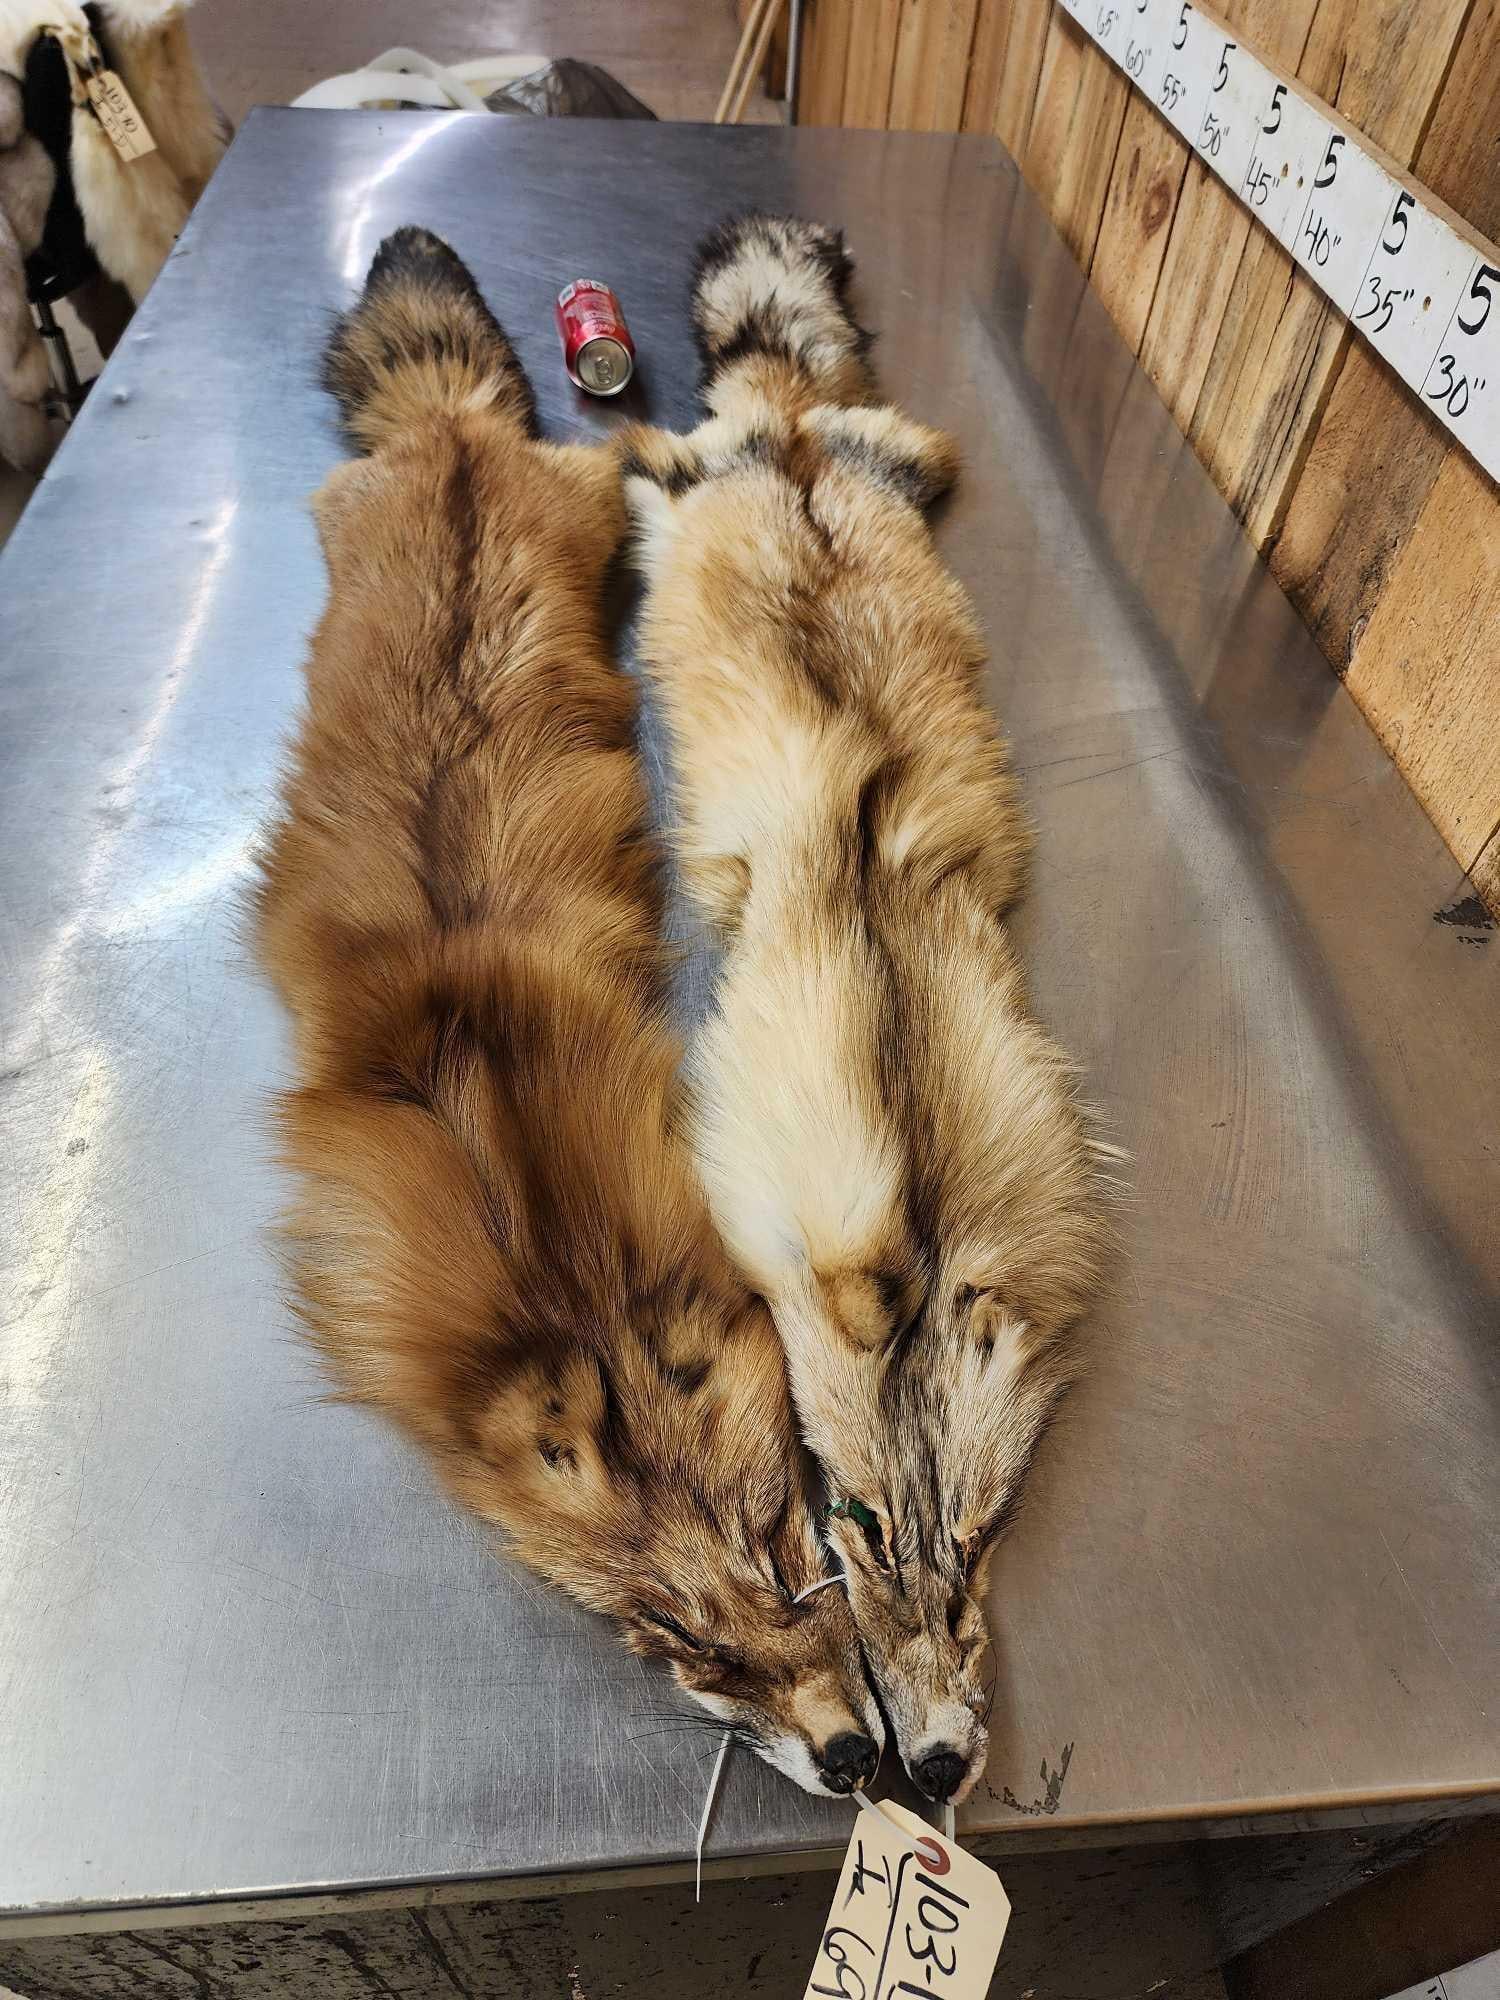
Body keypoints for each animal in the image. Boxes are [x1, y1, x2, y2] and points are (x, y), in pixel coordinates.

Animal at [253, 225, 882, 1799]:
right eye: (683, 1644)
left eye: (783, 1546)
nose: (857, 1762)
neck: (556, 1268)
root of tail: (449, 442)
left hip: (584, 495)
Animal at [619, 214, 1112, 1808]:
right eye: (857, 1523)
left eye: (979, 1533)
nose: (938, 1767)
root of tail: (787, 434)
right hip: (693, 482)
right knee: (666, 451)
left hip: (893, 454)